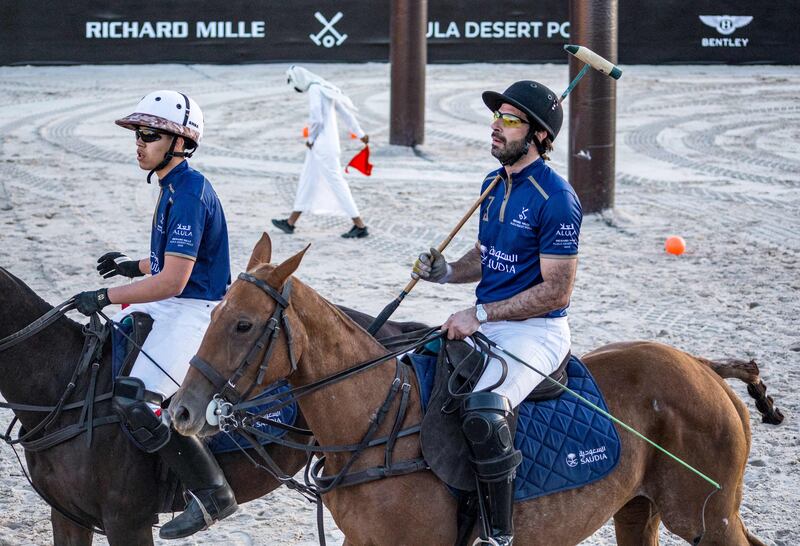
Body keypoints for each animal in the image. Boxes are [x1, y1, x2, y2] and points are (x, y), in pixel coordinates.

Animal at [167, 235, 780, 544]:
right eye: (212, 312)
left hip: (706, 514)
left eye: (243, 324)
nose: (181, 410)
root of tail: (702, 366)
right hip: (638, 509)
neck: (377, 424)